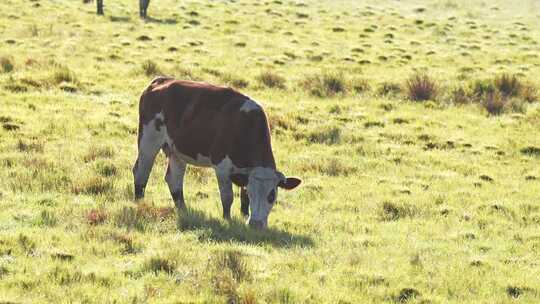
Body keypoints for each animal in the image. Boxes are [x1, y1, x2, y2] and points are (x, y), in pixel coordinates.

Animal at [131, 77, 300, 229]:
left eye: (271, 195)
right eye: (253, 193)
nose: (256, 224)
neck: (245, 126)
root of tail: (160, 81)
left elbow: (242, 196)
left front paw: (244, 215)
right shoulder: (222, 167)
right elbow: (227, 196)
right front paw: (227, 218)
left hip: (176, 151)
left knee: (174, 180)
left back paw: (184, 210)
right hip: (148, 141)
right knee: (141, 172)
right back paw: (140, 204)